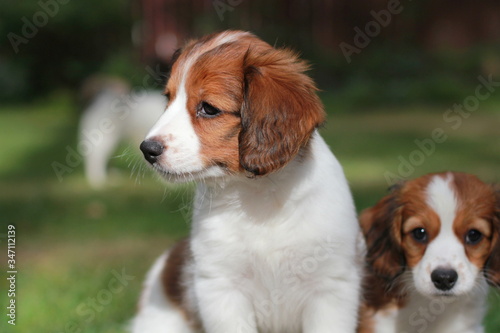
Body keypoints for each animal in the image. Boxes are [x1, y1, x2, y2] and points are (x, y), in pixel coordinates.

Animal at [131, 29, 362, 330]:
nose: (147, 149)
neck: (258, 196)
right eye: (168, 99)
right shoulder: (220, 288)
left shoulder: (331, 288)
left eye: (208, 108)